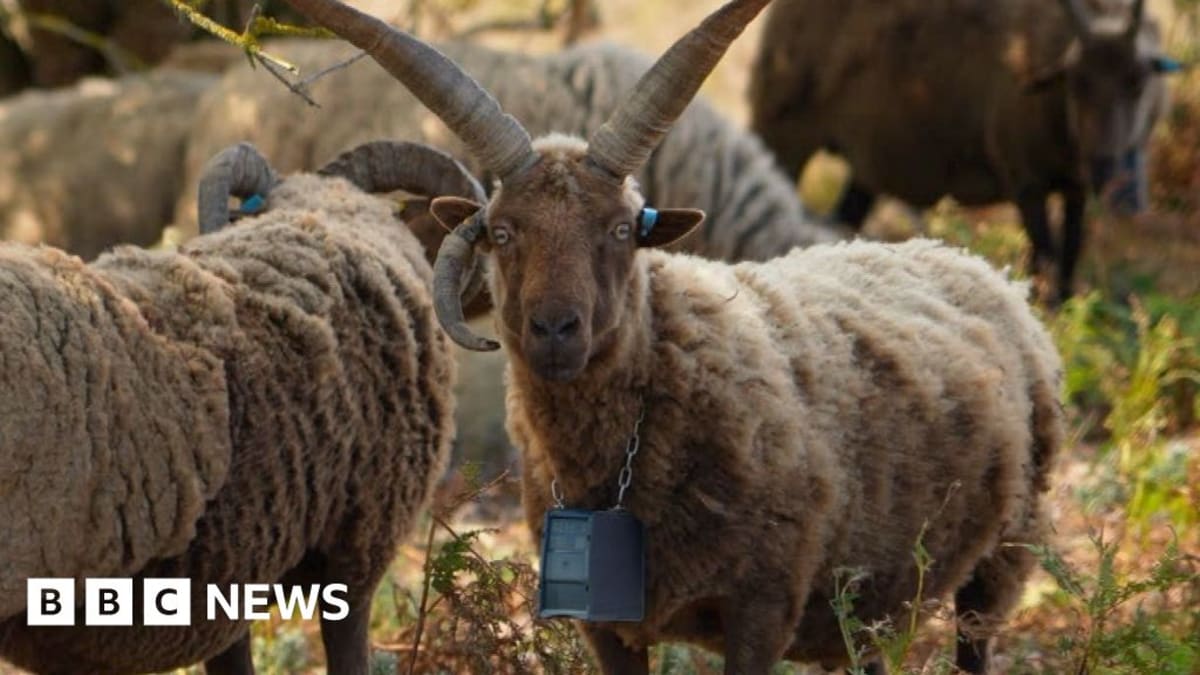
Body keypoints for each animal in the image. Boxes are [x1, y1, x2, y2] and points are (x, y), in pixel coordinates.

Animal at [278, 0, 1066, 672]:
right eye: (501, 232)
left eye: (624, 228)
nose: (555, 331)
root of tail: (971, 262)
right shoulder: (608, 625)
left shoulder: (761, 608)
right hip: (874, 600)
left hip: (1002, 558)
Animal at [749, 0, 1180, 302]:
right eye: (1077, 81)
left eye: (1138, 80)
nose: (1110, 176)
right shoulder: (1025, 182)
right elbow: (1044, 262)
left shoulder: (1074, 188)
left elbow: (1069, 262)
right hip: (782, 133)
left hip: (864, 167)